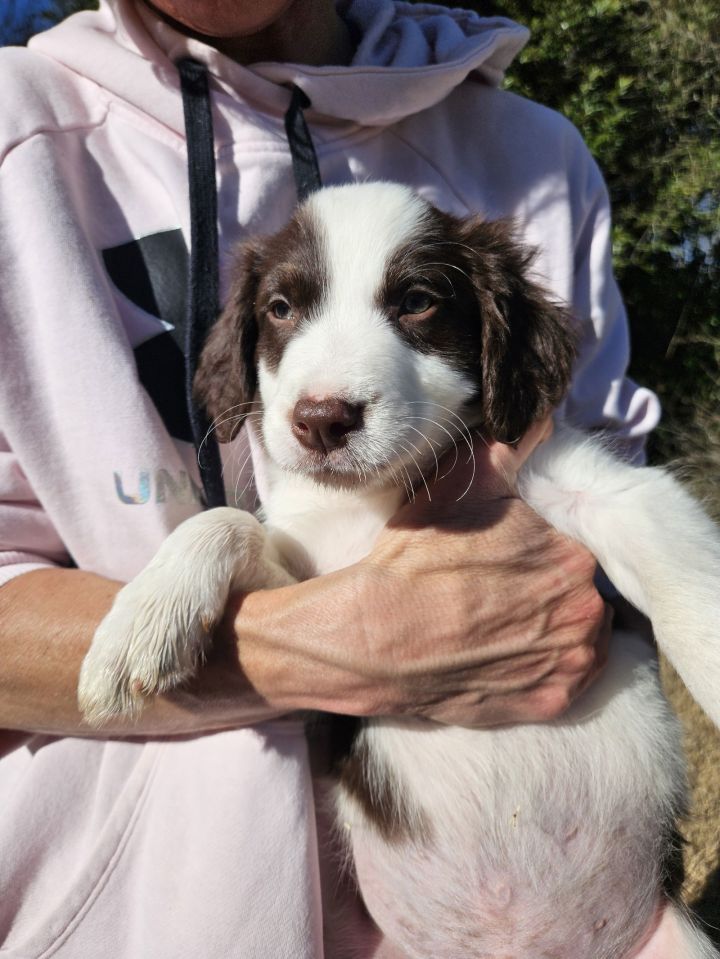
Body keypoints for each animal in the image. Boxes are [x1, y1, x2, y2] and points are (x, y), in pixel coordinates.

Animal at [79, 182, 720, 959]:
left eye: (417, 300)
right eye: (281, 308)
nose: (321, 420)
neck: (388, 492)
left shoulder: (605, 489)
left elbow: (688, 591)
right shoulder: (318, 590)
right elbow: (225, 520)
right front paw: (140, 624)